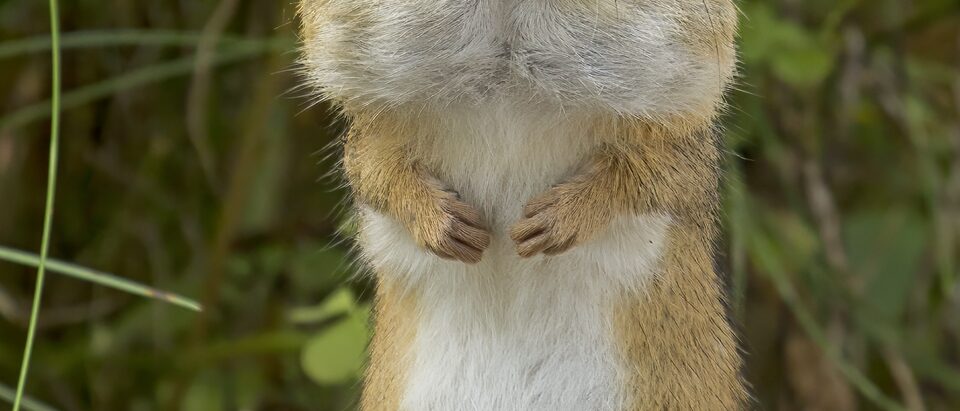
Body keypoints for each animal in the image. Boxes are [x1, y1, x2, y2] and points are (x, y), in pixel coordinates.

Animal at [298, 0, 745, 410]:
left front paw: (558, 221)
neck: (510, 92)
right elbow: (375, 171)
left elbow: (651, 177)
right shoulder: (371, 135)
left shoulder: (681, 141)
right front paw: (443, 225)